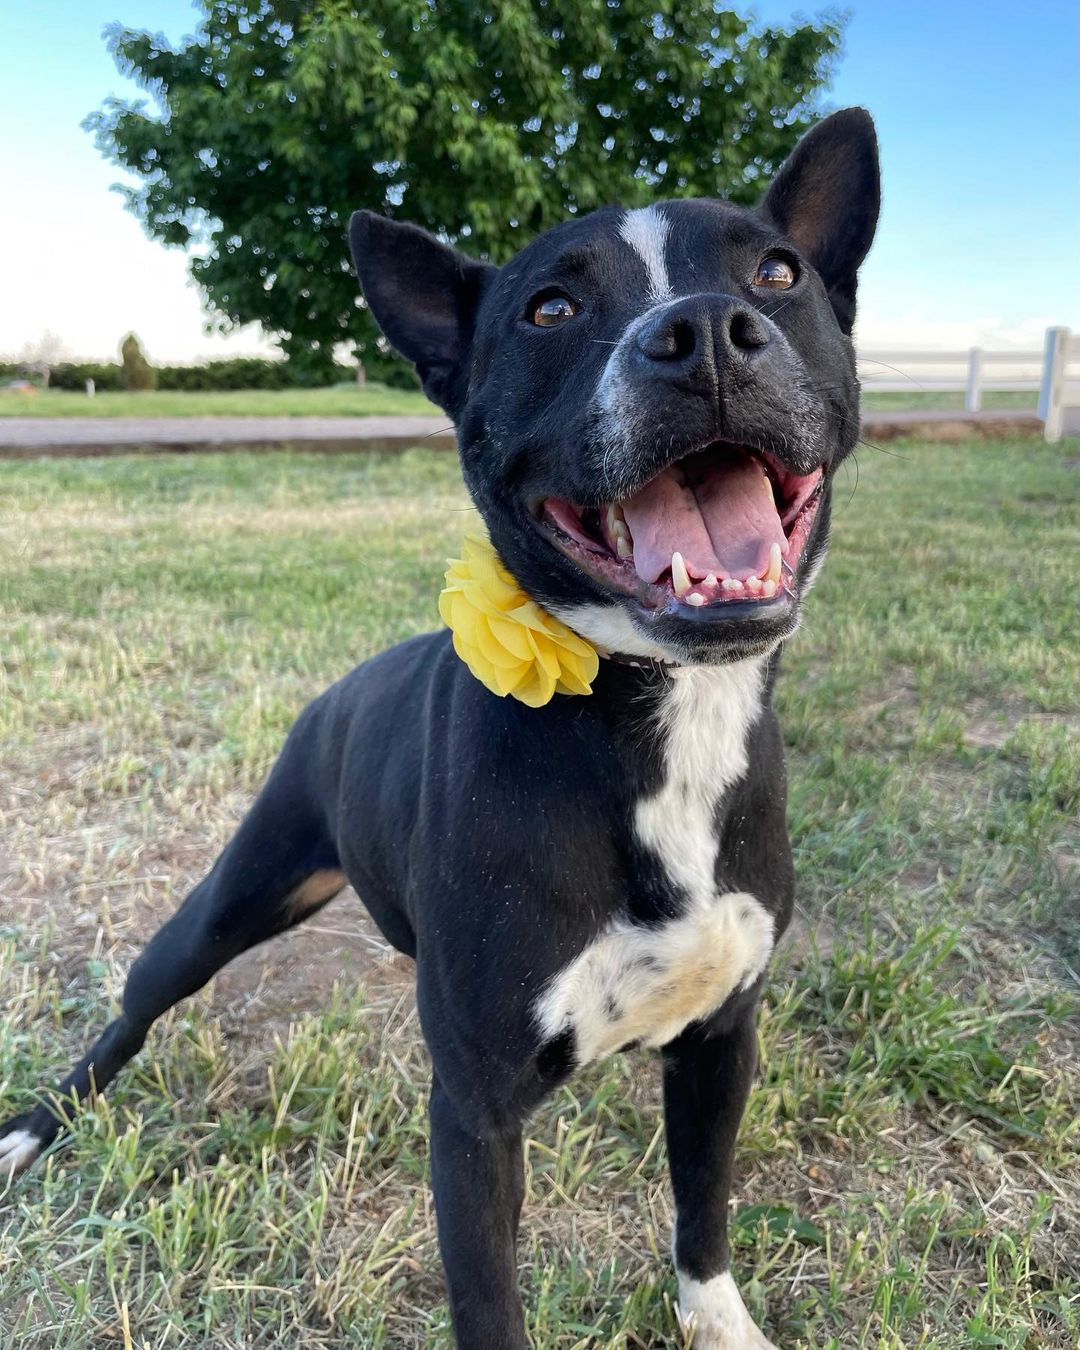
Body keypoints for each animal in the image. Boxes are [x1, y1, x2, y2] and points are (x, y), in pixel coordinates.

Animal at [2, 108, 874, 1350]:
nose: (705, 331)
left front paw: (721, 1323)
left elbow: (703, 1212)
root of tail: (341, 688)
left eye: (779, 274)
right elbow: (489, 1300)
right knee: (131, 1011)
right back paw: (34, 1129)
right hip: (227, 903)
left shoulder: (721, 1043)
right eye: (549, 309)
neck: (657, 720)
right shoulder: (474, 1118)